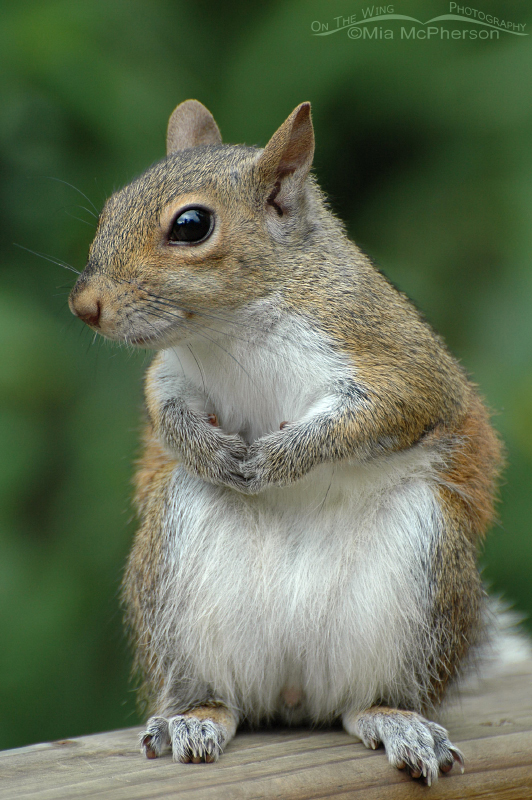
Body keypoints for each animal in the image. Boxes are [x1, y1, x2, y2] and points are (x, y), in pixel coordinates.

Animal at [67, 98, 508, 780]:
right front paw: (209, 451)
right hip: (180, 585)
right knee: (223, 696)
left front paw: (278, 459)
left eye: (191, 225)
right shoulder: (170, 373)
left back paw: (396, 720)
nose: (83, 305)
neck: (231, 330)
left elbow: (379, 414)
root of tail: (294, 690)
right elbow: (166, 414)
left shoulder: (391, 357)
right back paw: (194, 716)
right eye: (112, 205)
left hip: (423, 573)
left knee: (362, 702)